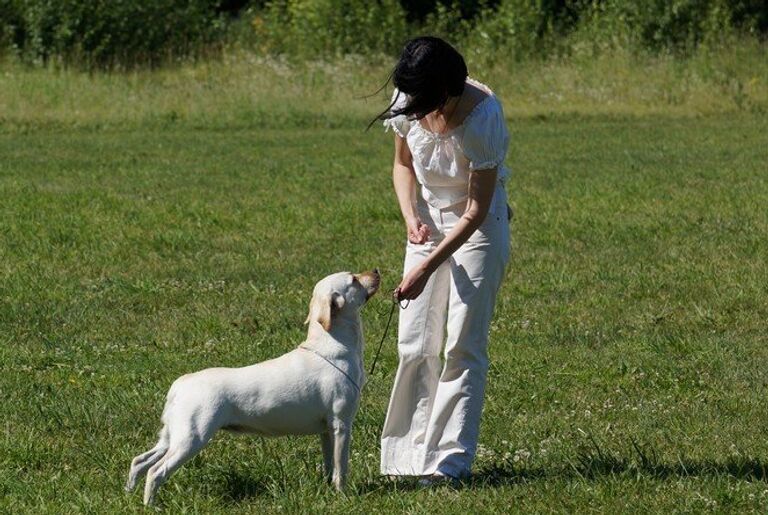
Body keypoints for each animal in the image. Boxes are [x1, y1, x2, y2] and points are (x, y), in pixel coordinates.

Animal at [124, 270, 384, 504]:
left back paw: (128, 494)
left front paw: (328, 489)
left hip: (172, 436)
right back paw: (151, 505)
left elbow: (329, 464)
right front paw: (343, 496)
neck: (332, 346)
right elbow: (342, 468)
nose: (376, 271)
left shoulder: (326, 430)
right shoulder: (341, 423)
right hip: (192, 438)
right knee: (155, 471)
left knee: (139, 461)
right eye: (353, 279)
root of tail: (181, 383)